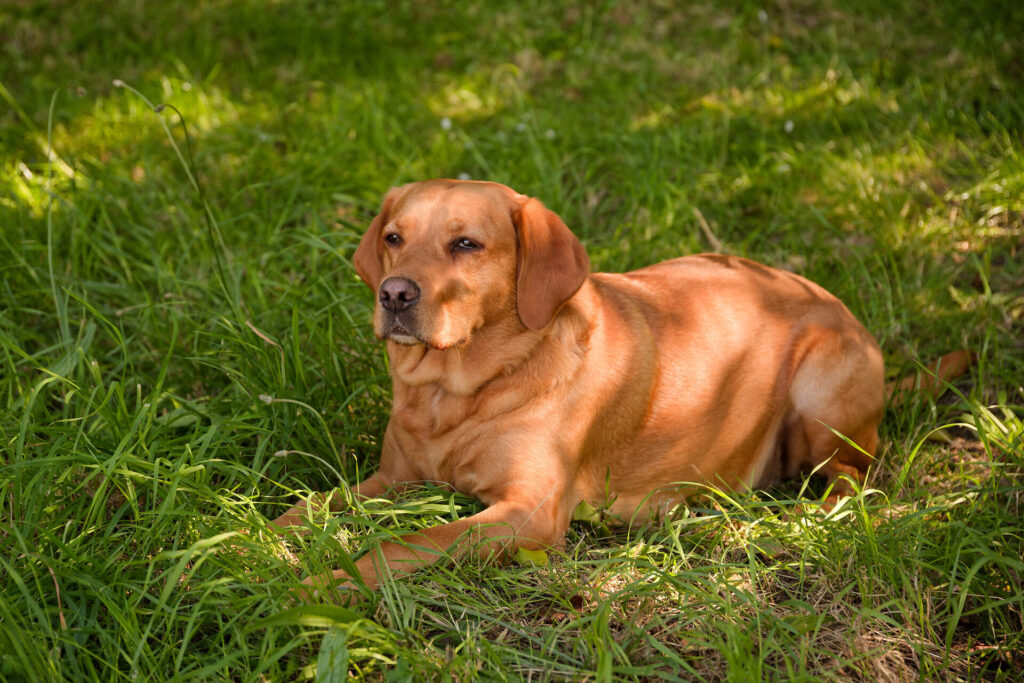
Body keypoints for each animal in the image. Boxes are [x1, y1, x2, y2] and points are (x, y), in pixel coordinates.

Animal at [272, 180, 966, 598]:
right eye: (394, 238)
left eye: (465, 243)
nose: (394, 294)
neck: (459, 392)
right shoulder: (394, 478)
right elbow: (308, 506)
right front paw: (259, 544)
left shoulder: (527, 511)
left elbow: (408, 542)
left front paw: (318, 585)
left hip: (821, 391)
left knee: (852, 485)